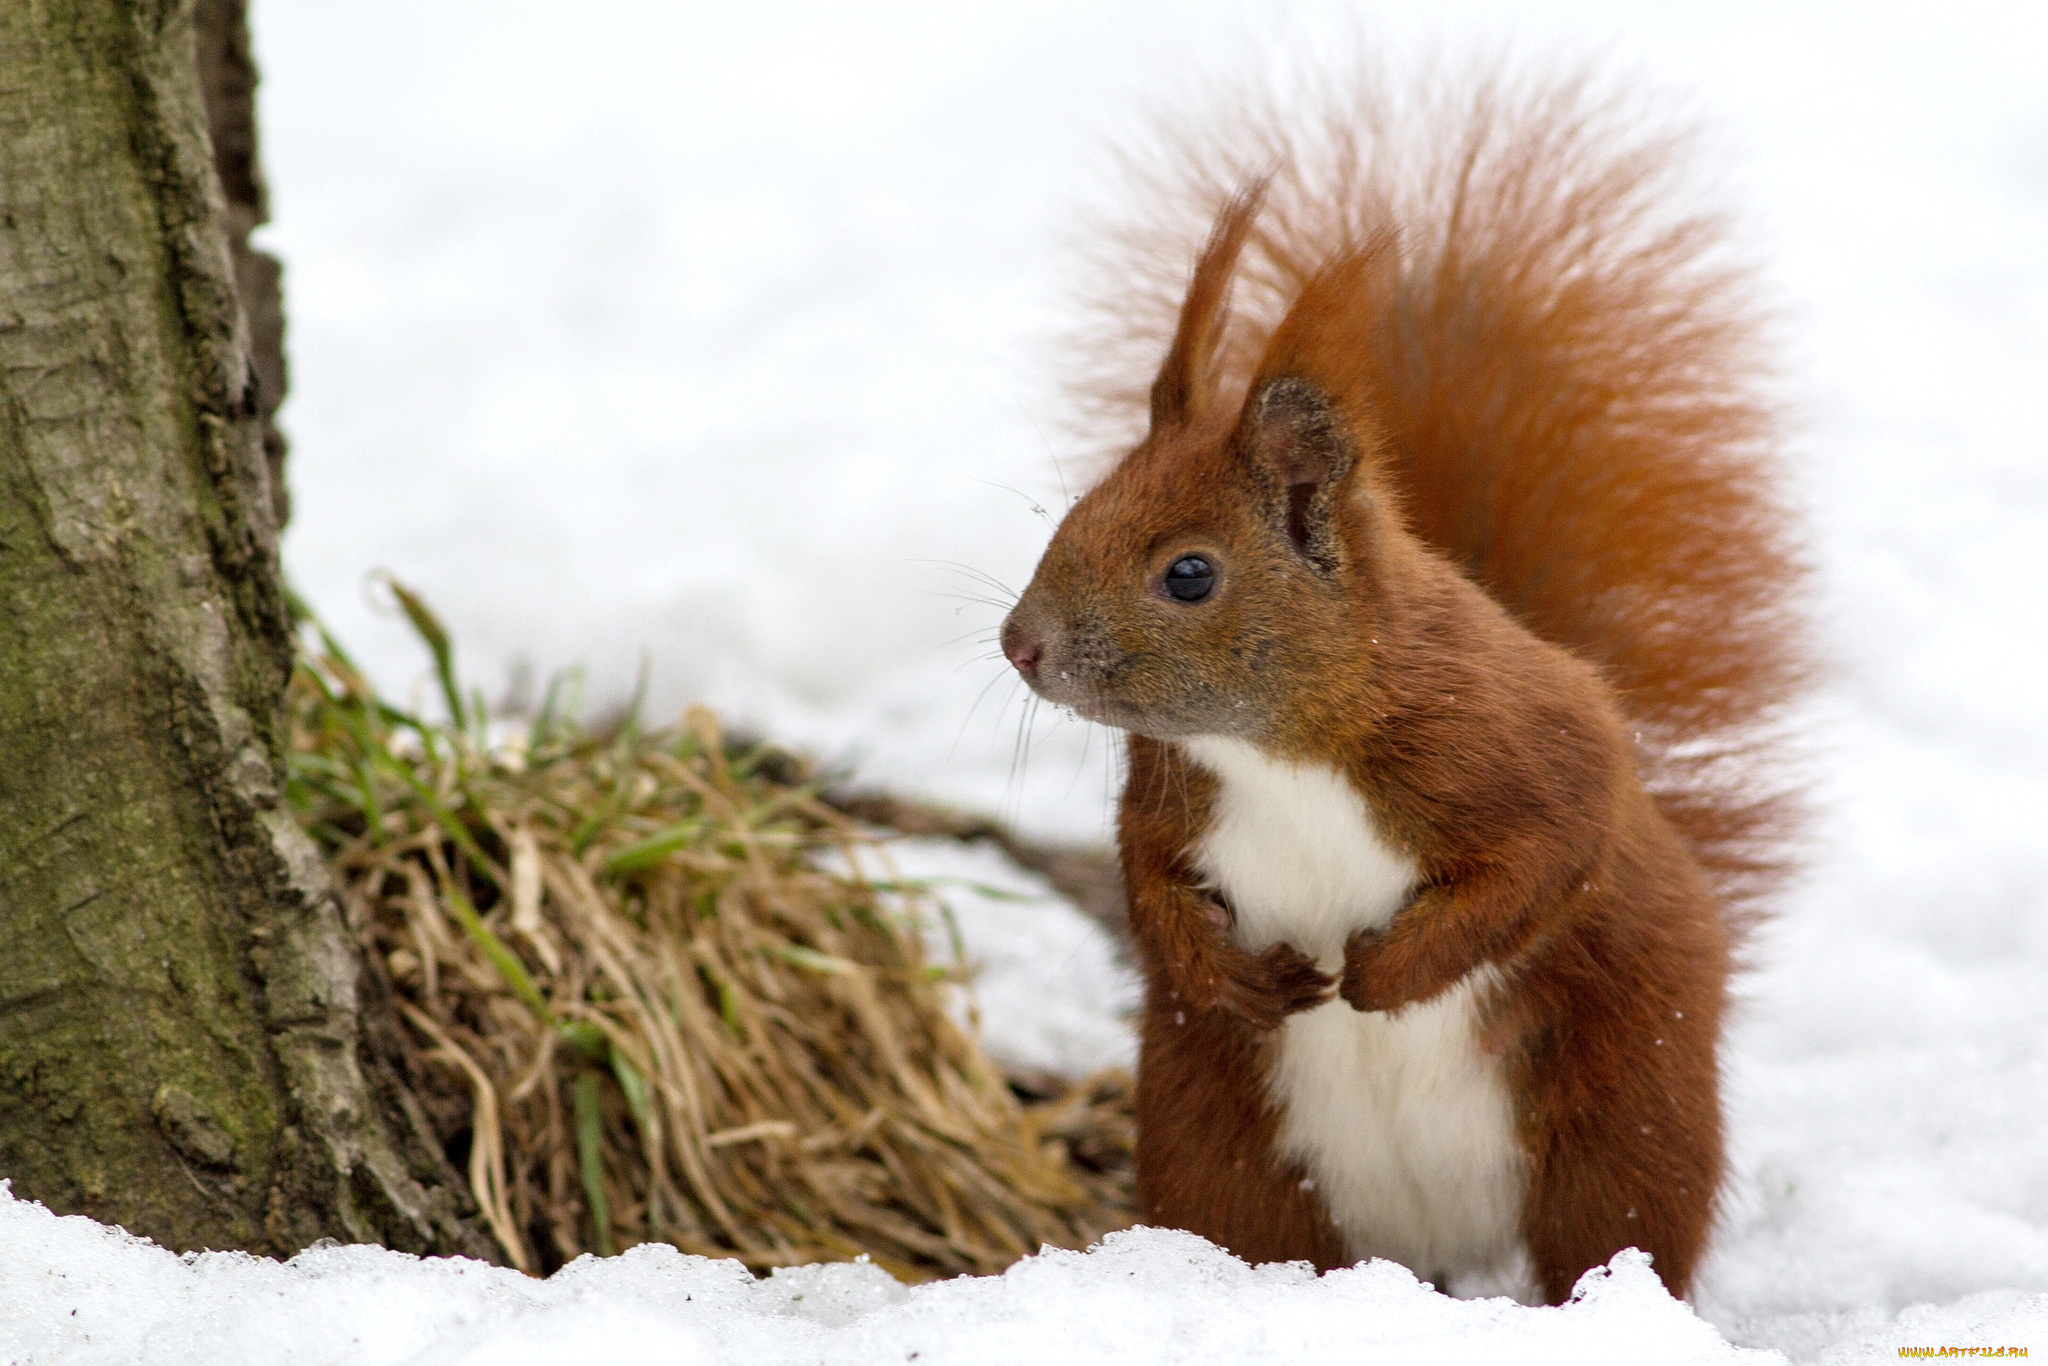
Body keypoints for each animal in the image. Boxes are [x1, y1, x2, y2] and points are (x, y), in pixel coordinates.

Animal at [999, 66, 1802, 1302]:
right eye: (1075, 509)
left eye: (1188, 573)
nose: (1018, 645)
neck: (1275, 749)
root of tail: (1432, 1250)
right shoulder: (1165, 794)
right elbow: (1146, 886)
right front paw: (1237, 978)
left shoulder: (1509, 734)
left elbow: (1551, 848)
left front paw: (1383, 975)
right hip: (1221, 1147)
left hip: (1626, 1116)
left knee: (1617, 1233)